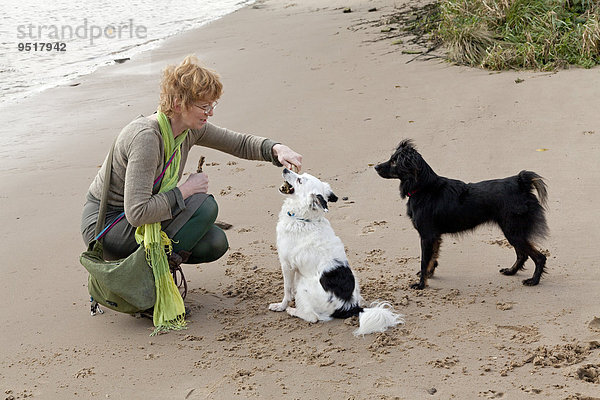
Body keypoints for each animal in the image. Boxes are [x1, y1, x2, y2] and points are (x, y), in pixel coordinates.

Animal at [268, 167, 404, 336]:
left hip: (304, 285)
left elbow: (287, 290)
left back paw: (293, 311)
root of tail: (351, 307)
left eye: (299, 180)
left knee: (313, 317)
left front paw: (281, 306)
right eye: (301, 175)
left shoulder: (287, 264)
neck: (304, 219)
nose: (285, 168)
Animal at [376, 139, 548, 290]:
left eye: (394, 162)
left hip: (513, 230)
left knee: (539, 257)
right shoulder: (434, 236)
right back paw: (511, 271)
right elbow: (433, 258)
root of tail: (520, 182)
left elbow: (425, 261)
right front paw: (430, 275)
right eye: (391, 158)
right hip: (512, 230)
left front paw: (421, 285)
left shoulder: (427, 236)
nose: (376, 166)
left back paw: (534, 281)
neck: (424, 187)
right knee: (522, 254)